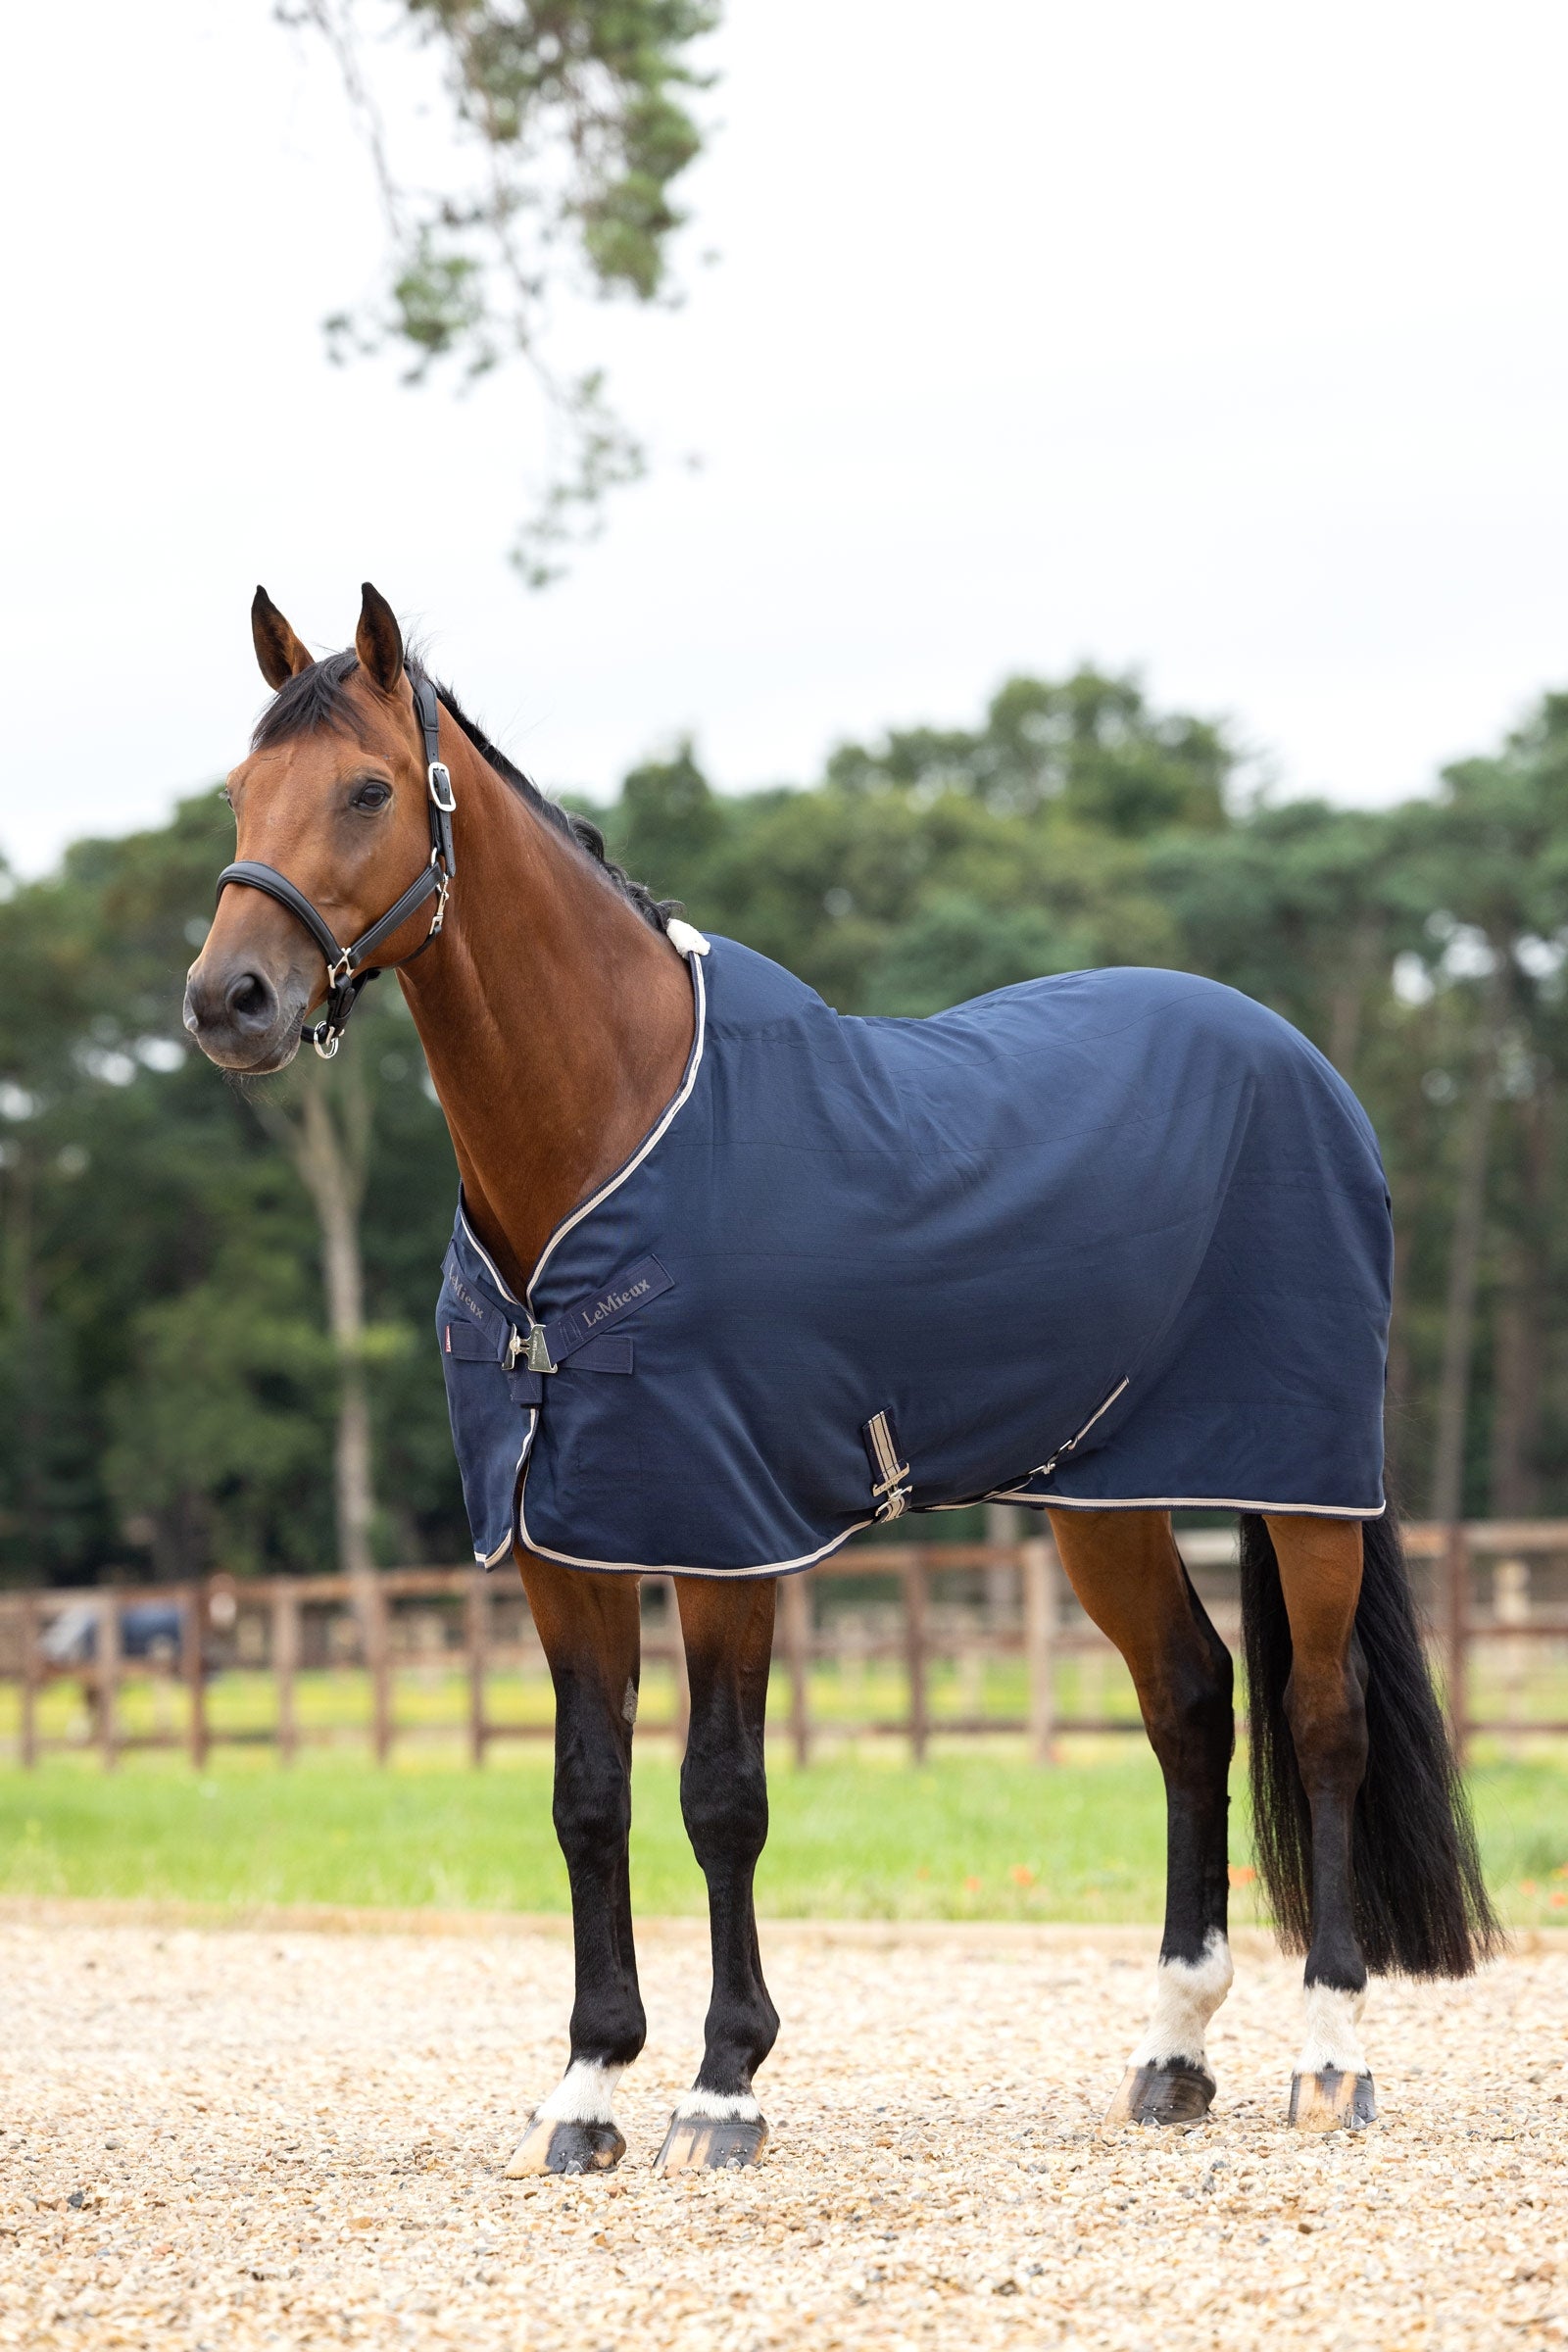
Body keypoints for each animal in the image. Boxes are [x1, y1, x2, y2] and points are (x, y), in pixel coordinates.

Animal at [183, 582, 1497, 2175]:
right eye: (238, 791)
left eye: (370, 790)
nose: (230, 1000)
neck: (611, 1125)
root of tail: (1299, 1060)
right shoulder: (564, 1542)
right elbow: (587, 1800)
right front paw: (587, 2088)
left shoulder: (724, 1534)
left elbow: (721, 1796)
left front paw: (722, 2087)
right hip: (1104, 1497)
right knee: (1190, 1703)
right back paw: (1173, 2052)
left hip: (1302, 1483)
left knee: (1320, 1719)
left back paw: (1328, 2057)